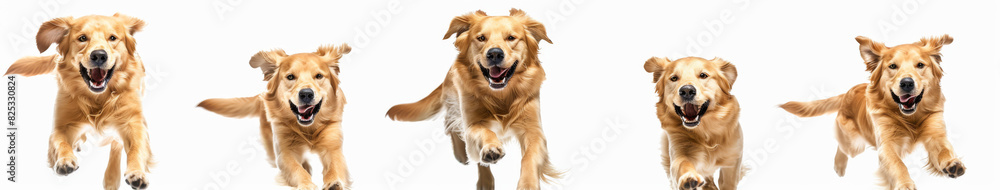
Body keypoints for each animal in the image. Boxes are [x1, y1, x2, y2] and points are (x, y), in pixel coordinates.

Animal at [4, 13, 152, 189]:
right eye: (82, 38)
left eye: (112, 38)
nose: (99, 55)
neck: (97, 99)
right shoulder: (62, 124)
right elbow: (60, 142)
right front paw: (65, 160)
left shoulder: (134, 123)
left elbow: (136, 148)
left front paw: (136, 172)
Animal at [199, 43, 352, 190]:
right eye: (290, 77)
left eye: (319, 76)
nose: (306, 94)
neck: (307, 130)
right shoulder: (284, 152)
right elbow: (297, 170)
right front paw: (306, 184)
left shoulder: (333, 146)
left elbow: (335, 166)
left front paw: (333, 182)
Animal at [384, 9, 560, 190]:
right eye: (481, 38)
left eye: (511, 38)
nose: (494, 53)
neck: (500, 97)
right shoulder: (472, 123)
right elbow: (485, 133)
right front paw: (491, 148)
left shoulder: (533, 129)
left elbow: (529, 157)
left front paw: (528, 183)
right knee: (452, 125)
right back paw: (468, 162)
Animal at [648, 56, 744, 190]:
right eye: (674, 78)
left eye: (703, 75)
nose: (687, 90)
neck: (705, 132)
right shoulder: (678, 151)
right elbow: (682, 164)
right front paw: (688, 178)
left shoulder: (733, 160)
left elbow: (728, 182)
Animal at [784, 35, 964, 189]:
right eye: (892, 66)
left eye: (920, 65)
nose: (907, 83)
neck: (910, 118)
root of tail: (847, 93)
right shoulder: (886, 145)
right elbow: (898, 164)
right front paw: (904, 184)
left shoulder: (936, 133)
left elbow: (944, 150)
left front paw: (952, 163)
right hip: (854, 143)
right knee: (841, 147)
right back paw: (839, 165)